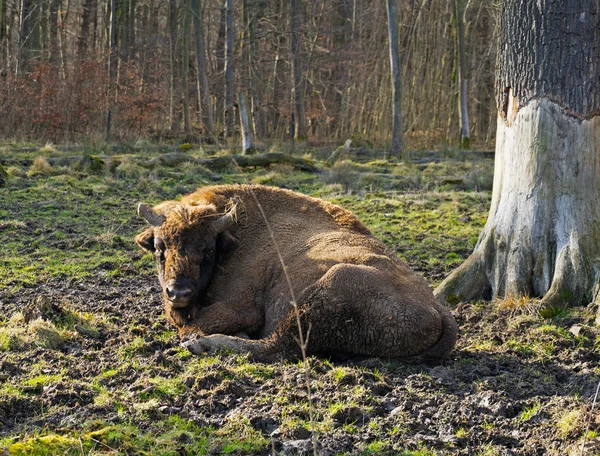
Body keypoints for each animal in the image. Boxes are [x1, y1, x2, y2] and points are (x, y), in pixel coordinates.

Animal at [135, 184, 454, 364]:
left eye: (208, 251)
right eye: (159, 247)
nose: (178, 292)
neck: (234, 238)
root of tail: (438, 308)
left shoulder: (242, 307)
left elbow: (192, 326)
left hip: (327, 287)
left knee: (275, 347)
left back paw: (203, 346)